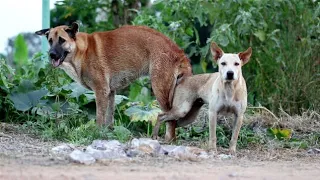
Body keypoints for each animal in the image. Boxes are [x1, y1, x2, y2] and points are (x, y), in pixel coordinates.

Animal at [35, 22, 191, 126]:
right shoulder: (110, 93)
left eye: (62, 40)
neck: (81, 52)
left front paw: (96, 134)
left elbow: (99, 117)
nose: (51, 55)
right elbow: (109, 119)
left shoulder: (101, 91)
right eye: (50, 41)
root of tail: (177, 50)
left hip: (160, 91)